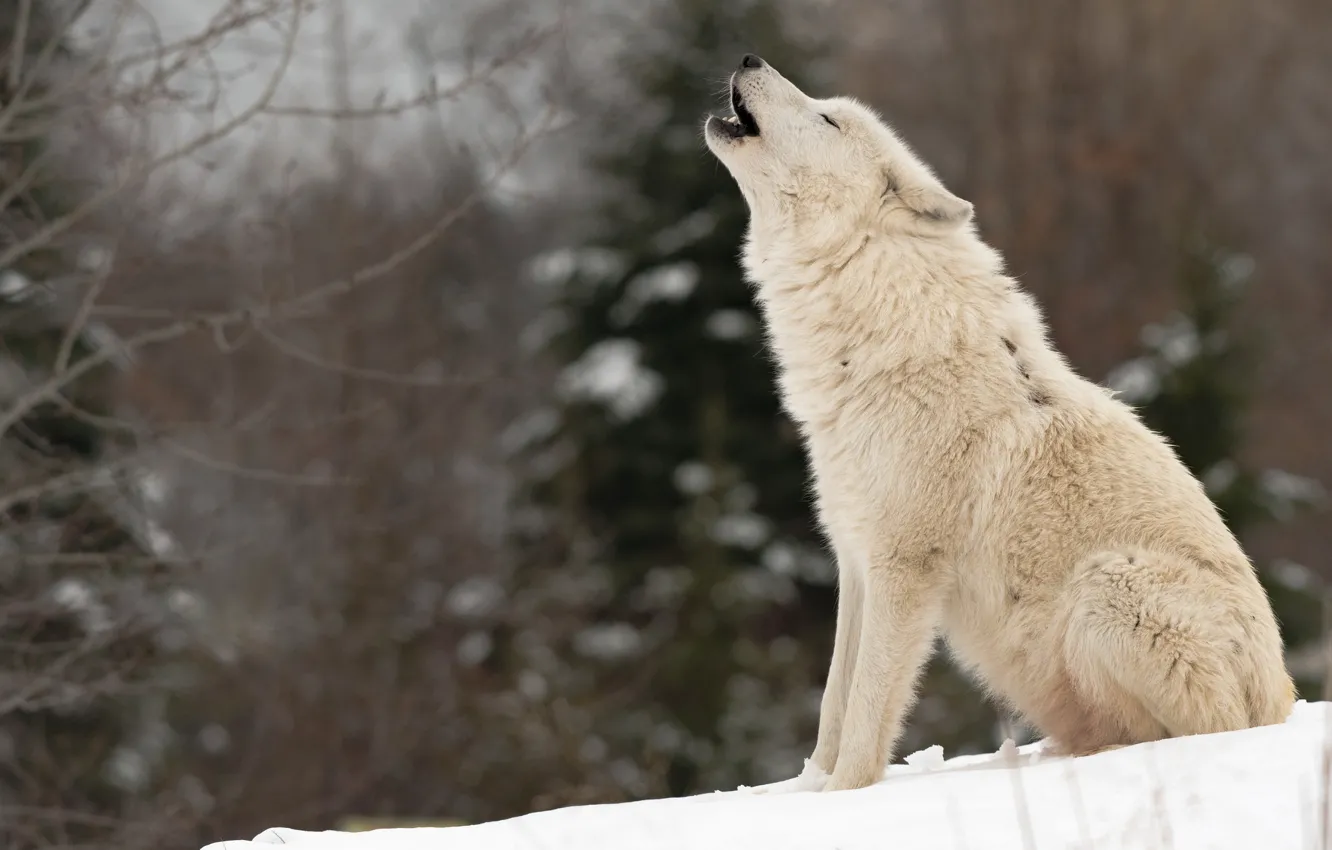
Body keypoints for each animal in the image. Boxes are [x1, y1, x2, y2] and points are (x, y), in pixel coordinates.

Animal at [704, 54, 1295, 793]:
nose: (749, 58)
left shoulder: (903, 564)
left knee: (1194, 731)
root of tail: (1281, 704)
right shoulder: (855, 557)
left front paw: (846, 796)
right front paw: (810, 791)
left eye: (827, 118)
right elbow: (834, 702)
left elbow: (867, 709)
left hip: (1108, 586)